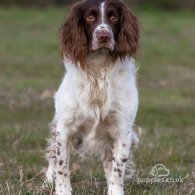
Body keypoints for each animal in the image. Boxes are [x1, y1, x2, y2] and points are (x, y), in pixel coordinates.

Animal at [45, 0, 140, 194]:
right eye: (89, 17)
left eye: (114, 17)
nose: (104, 36)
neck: (98, 72)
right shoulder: (64, 128)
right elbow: (61, 165)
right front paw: (62, 190)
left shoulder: (122, 131)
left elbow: (117, 170)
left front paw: (115, 191)